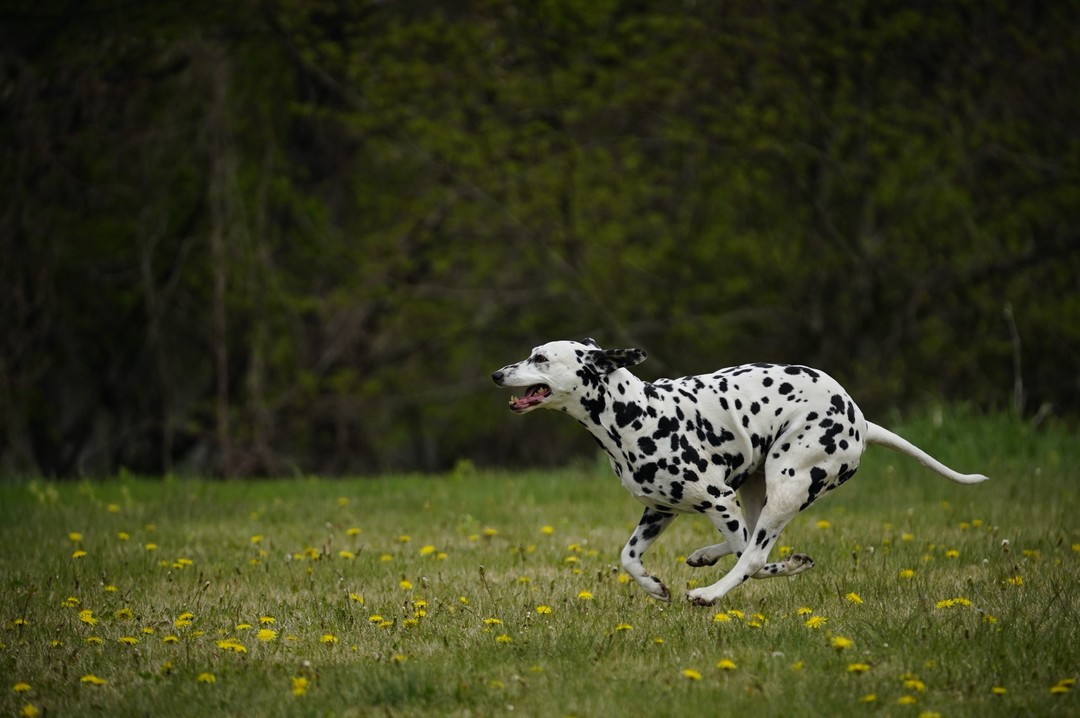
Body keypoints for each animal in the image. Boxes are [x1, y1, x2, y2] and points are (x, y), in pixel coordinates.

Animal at [490, 336, 989, 604]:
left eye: (540, 358)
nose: (497, 374)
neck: (636, 414)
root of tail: (860, 419)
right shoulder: (659, 511)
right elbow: (628, 558)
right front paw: (653, 587)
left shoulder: (717, 498)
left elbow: (751, 557)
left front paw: (777, 570)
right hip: (755, 487)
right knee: (751, 542)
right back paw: (709, 557)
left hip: (785, 486)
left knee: (753, 552)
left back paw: (711, 593)